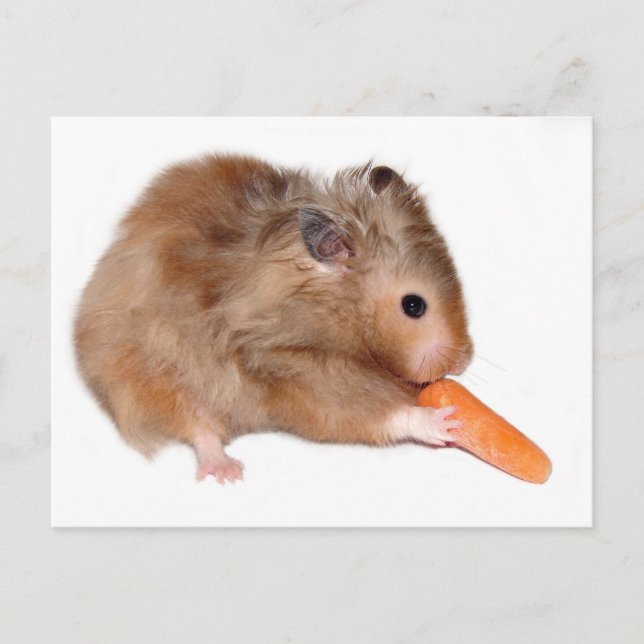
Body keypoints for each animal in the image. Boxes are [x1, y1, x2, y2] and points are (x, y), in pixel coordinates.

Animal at [74, 154, 473, 483]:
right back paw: (228, 473)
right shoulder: (293, 377)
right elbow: (371, 414)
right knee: (196, 424)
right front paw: (446, 420)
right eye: (413, 306)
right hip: (156, 370)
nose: (463, 364)